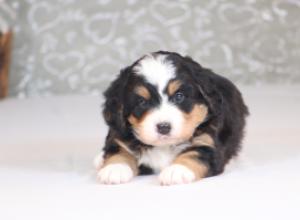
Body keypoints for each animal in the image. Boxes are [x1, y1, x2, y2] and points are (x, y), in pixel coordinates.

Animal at [94, 51, 248, 186]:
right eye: (142, 102)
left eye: (179, 96)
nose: (163, 127)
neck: (165, 146)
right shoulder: (119, 134)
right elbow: (119, 151)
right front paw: (115, 168)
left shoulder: (208, 143)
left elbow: (193, 154)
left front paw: (176, 171)